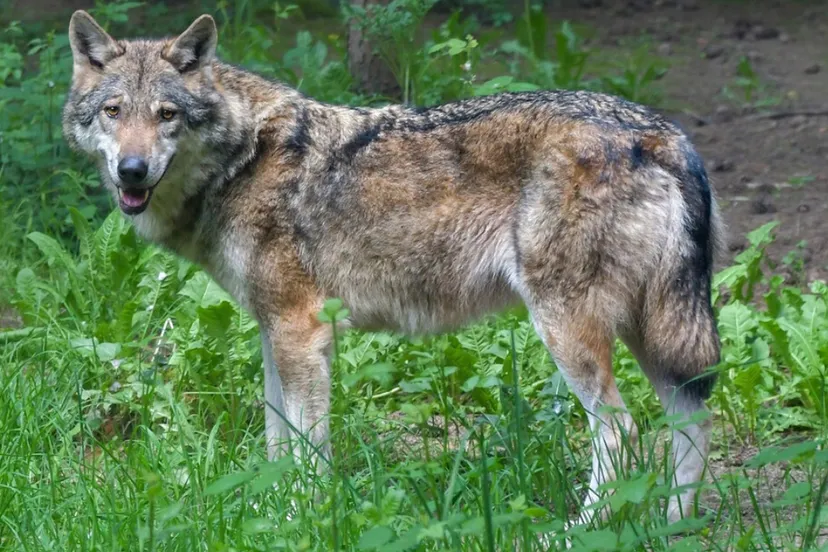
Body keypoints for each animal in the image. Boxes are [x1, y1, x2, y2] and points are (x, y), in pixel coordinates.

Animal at [64, 10, 722, 524]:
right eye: (114, 111)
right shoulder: (273, 333)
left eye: (167, 114)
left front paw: (303, 518)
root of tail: (664, 135)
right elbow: (277, 445)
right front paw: (267, 516)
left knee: (623, 433)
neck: (243, 159)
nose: (131, 170)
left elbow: (308, 451)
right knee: (691, 421)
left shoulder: (303, 332)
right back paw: (672, 527)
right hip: (651, 333)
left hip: (570, 331)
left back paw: (574, 533)